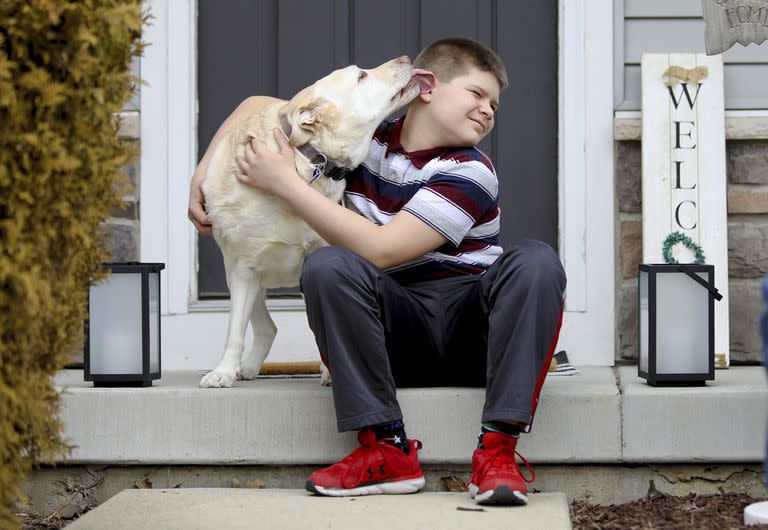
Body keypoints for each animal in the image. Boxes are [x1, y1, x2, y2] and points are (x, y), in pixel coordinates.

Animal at [201, 57, 436, 386]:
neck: (306, 163)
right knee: (262, 325)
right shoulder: (243, 268)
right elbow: (235, 329)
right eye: (361, 76)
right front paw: (223, 371)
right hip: (239, 273)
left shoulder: (317, 255)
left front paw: (330, 371)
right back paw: (245, 367)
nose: (404, 59)